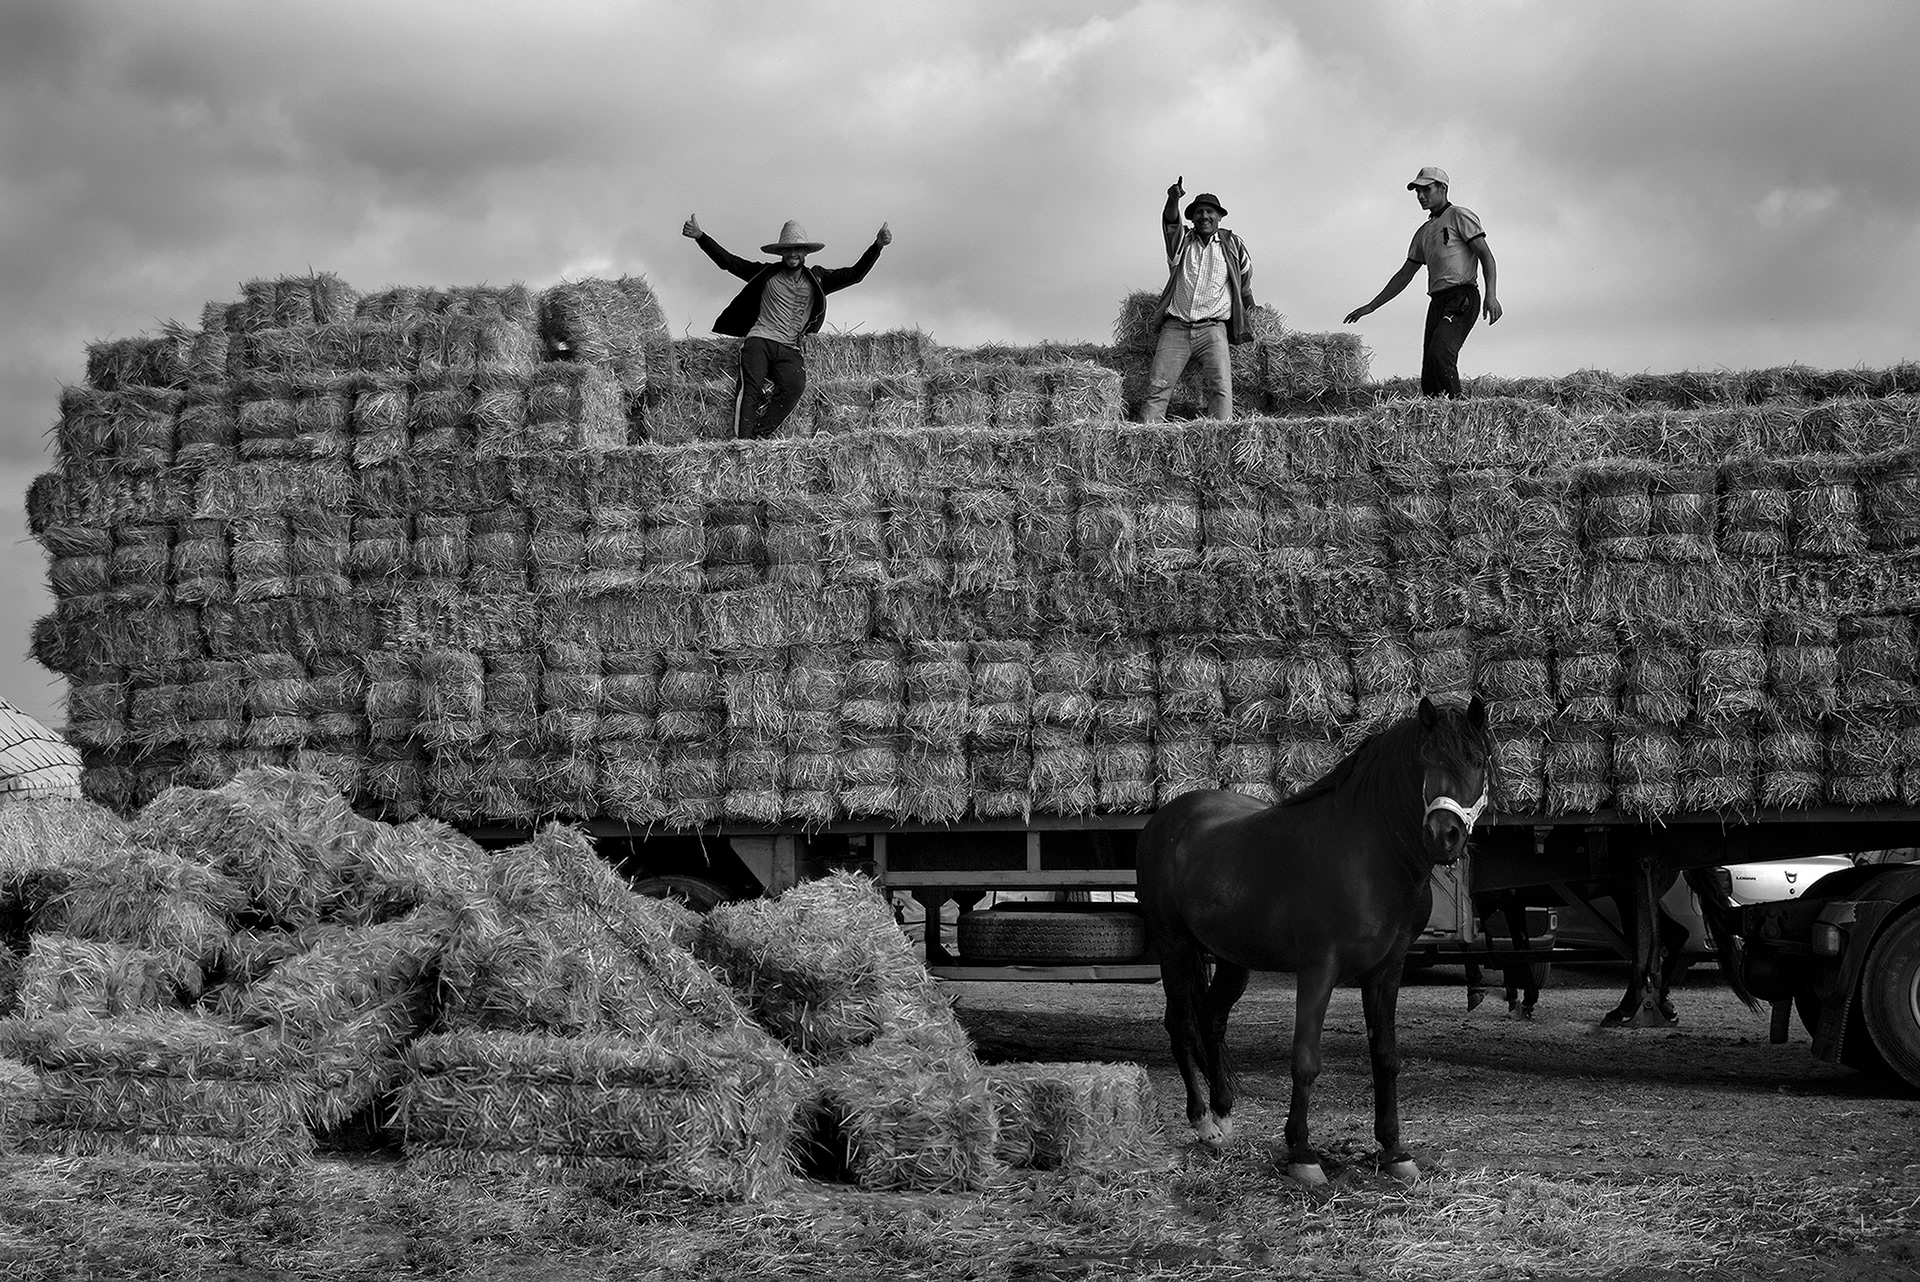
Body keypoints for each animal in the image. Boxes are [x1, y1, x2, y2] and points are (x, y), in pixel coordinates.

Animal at [1136, 695, 1493, 1185]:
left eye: (1477, 761)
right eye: (1424, 760)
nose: (1445, 836)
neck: (1370, 856)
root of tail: (1168, 818)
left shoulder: (1388, 971)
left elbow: (1385, 1056)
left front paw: (1394, 1151)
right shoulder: (1318, 968)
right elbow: (1305, 1060)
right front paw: (1302, 1154)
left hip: (1232, 959)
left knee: (1211, 1020)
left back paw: (1225, 1117)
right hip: (1174, 947)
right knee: (1181, 1024)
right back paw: (1204, 1122)